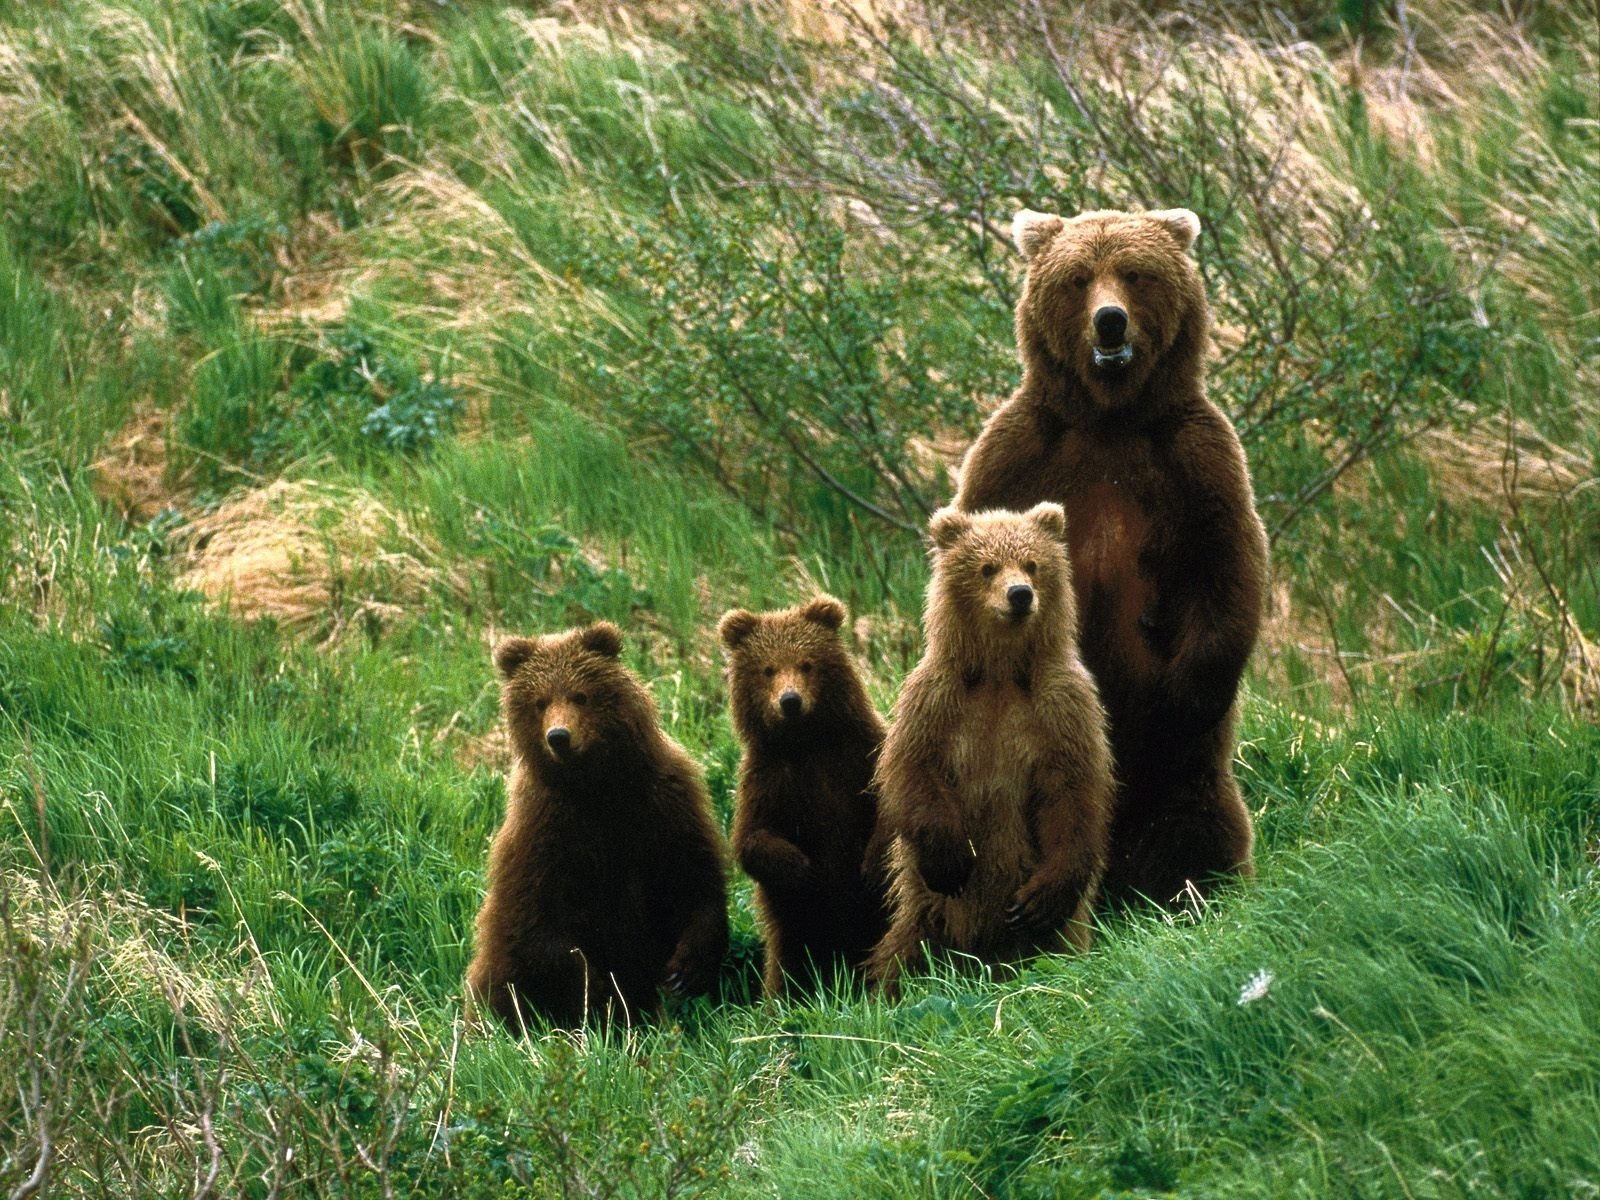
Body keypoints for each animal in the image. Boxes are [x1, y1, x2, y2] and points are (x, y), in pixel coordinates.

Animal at [467, 624, 729, 1030]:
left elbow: (693, 875)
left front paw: (686, 969)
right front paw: (604, 994)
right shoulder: (545, 830)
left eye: (580, 695)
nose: (559, 736)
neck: (596, 786)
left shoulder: (663, 803)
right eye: (540, 701)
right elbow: (539, 921)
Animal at [723, 598, 896, 998]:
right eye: (768, 669)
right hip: (795, 930)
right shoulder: (769, 779)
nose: (790, 701)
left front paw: (870, 865)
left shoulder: (858, 757)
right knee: (787, 965)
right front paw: (800, 867)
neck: (806, 742)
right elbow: (751, 839)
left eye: (806, 663)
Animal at [864, 502, 1113, 998]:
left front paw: (1040, 898)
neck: (1000, 672)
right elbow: (913, 771)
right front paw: (952, 857)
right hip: (927, 914)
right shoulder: (937, 700)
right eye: (987, 567)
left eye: (1032, 564)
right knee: (904, 952)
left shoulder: (1061, 707)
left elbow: (1073, 791)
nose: (1019, 595)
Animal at [953, 206, 1267, 908]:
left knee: (1196, 820)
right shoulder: (1018, 453)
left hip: (1183, 779)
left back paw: (1192, 887)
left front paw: (1185, 697)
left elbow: (1226, 563)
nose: (1110, 321)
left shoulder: (1195, 458)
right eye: (1077, 278)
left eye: (1134, 271)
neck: (1110, 416)